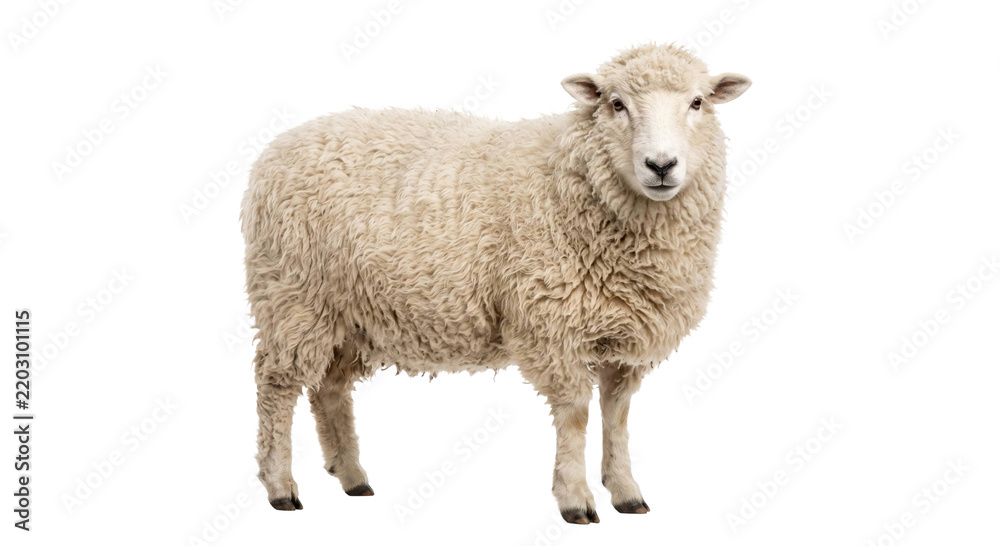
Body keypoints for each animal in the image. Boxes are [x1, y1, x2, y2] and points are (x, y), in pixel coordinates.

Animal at [241, 43, 750, 523]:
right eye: (616, 103)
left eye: (698, 102)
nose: (661, 165)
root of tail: (277, 148)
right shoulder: (551, 326)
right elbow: (576, 414)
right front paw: (575, 499)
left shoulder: (625, 337)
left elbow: (617, 414)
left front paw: (626, 491)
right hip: (292, 296)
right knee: (276, 387)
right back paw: (280, 485)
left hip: (347, 314)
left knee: (328, 389)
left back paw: (351, 476)